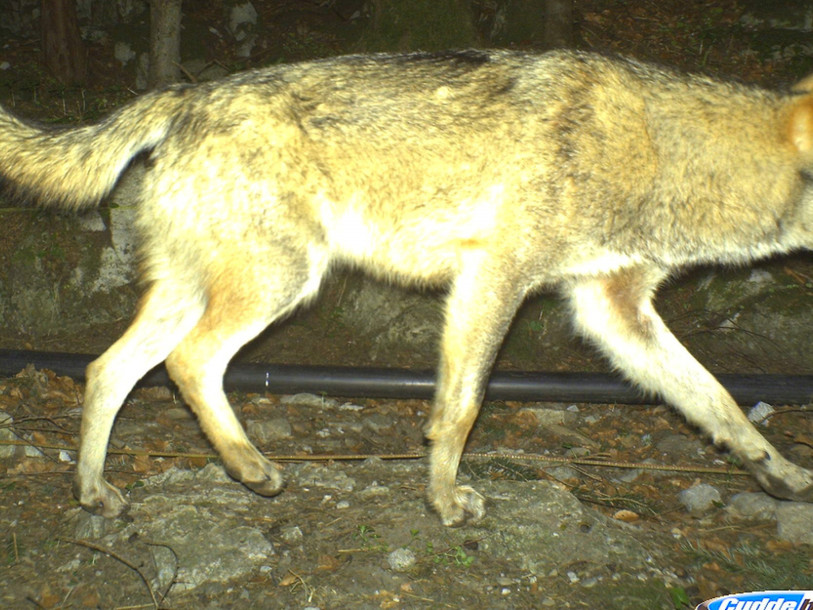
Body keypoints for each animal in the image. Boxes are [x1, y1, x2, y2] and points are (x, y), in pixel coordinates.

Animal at [0, 49, 811, 526]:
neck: (658, 152)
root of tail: (180, 97)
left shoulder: (613, 309)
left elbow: (718, 401)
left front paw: (782, 472)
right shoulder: (494, 279)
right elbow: (461, 409)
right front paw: (443, 500)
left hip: (196, 293)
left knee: (107, 370)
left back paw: (95, 493)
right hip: (280, 284)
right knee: (187, 364)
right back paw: (250, 468)